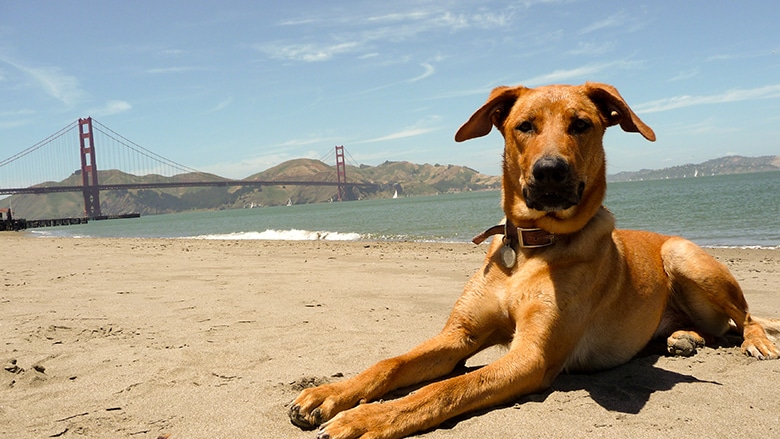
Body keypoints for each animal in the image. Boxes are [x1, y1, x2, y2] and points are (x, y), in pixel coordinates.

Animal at [288, 83, 780, 439]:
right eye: (524, 126)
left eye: (581, 124)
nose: (550, 172)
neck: (532, 246)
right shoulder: (460, 334)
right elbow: (390, 363)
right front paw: (328, 394)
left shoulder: (532, 354)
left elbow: (447, 387)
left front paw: (368, 418)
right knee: (715, 329)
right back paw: (682, 337)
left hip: (683, 254)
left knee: (745, 318)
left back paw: (754, 342)